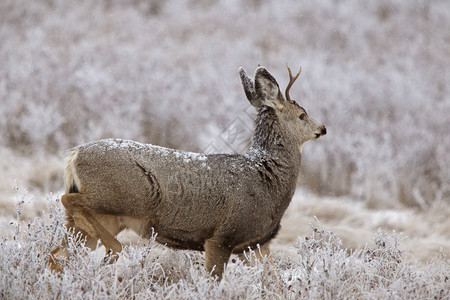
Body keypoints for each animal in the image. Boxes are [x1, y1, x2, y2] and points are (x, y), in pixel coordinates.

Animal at [49, 64, 326, 280]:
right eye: (302, 115)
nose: (323, 128)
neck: (266, 178)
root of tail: (73, 155)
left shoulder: (256, 245)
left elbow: (275, 282)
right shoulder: (222, 235)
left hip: (101, 220)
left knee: (56, 254)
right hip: (120, 197)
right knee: (68, 201)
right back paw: (114, 251)